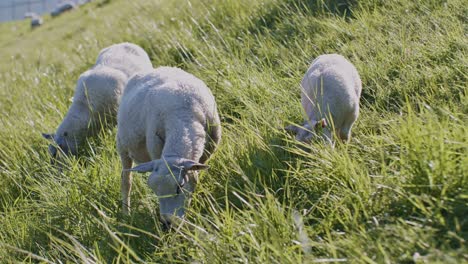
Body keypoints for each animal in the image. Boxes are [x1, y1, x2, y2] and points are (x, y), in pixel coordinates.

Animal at [116, 66, 220, 225]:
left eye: (179, 187)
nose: (167, 223)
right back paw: (126, 213)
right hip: (123, 147)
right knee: (126, 181)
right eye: (155, 192)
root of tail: (156, 69)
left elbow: (195, 175)